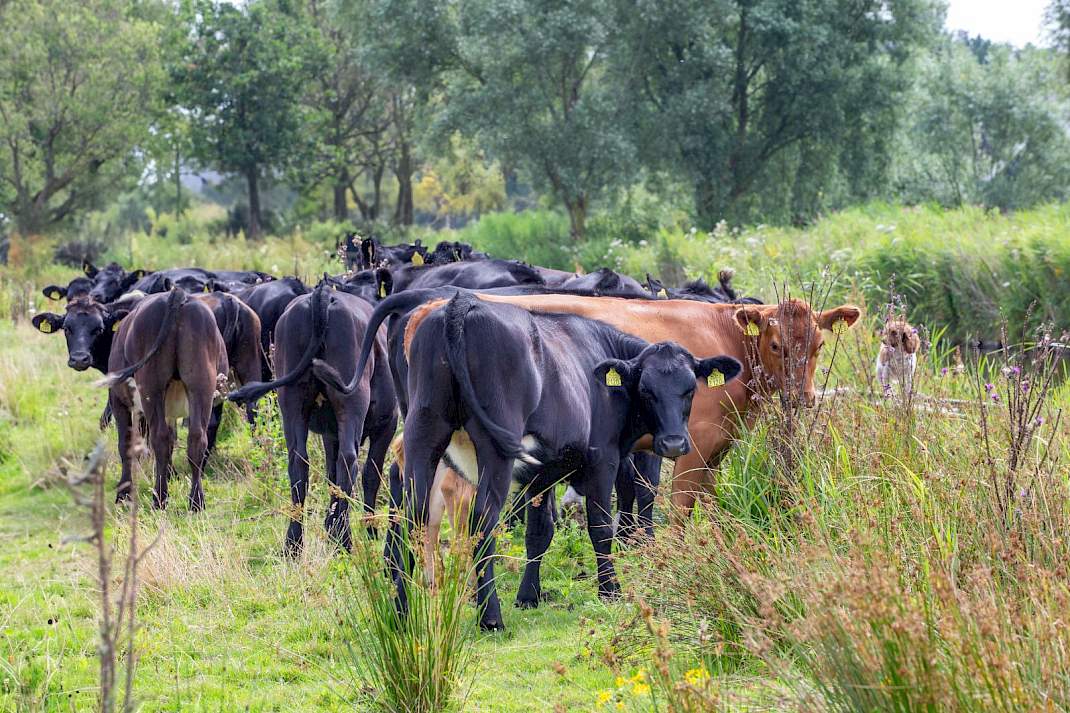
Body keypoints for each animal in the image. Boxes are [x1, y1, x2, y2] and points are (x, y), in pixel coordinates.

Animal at [103, 288, 228, 510]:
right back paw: (196, 502)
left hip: (151, 387)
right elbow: (171, 438)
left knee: (159, 438)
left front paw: (123, 494)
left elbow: (126, 445)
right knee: (196, 438)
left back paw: (159, 499)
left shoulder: (118, 400)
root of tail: (177, 295)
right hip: (201, 384)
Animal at [227, 281, 398, 553]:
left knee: (299, 462)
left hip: (292, 400)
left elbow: (331, 474)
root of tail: (322, 296)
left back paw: (294, 543)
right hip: (352, 400)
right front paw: (369, 530)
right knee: (349, 460)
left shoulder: (330, 433)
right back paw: (344, 538)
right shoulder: (387, 423)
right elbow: (371, 474)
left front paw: (331, 524)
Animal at [393, 292, 742, 629]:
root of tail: (462, 303)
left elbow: (539, 532)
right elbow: (600, 526)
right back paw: (490, 617)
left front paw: (528, 596)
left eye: (689, 389)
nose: (673, 442)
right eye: (646, 390)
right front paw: (610, 590)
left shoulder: (543, 472)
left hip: (423, 433)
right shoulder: (603, 459)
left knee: (412, 515)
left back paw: (401, 614)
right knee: (481, 520)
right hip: (494, 449)